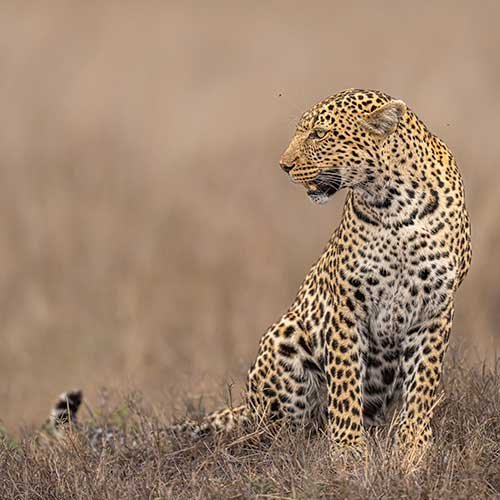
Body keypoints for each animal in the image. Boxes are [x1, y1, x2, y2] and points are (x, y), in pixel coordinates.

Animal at [47, 89, 471, 450]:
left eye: (319, 134)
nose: (283, 166)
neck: (394, 203)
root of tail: (247, 408)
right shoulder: (346, 307)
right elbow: (345, 386)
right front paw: (349, 455)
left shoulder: (436, 309)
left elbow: (421, 387)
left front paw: (412, 450)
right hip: (285, 341)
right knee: (279, 434)